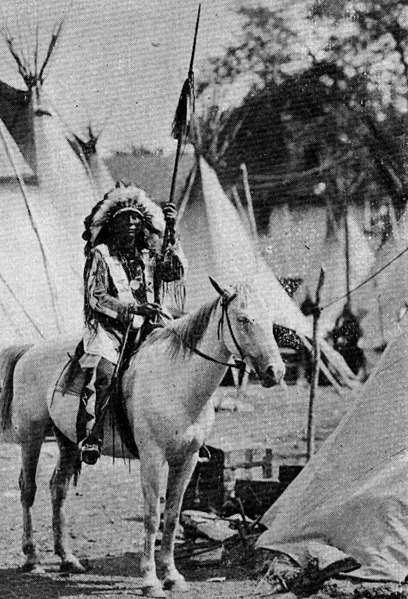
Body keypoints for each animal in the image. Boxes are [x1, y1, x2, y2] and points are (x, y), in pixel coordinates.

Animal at [0, 278, 286, 596]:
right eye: (243, 319)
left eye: (271, 320)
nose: (276, 372)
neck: (177, 380)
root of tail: (30, 351)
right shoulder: (152, 458)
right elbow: (151, 517)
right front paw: (150, 579)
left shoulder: (186, 460)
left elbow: (171, 517)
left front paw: (172, 575)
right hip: (32, 435)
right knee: (28, 489)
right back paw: (32, 559)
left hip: (68, 441)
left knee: (57, 488)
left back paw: (67, 558)